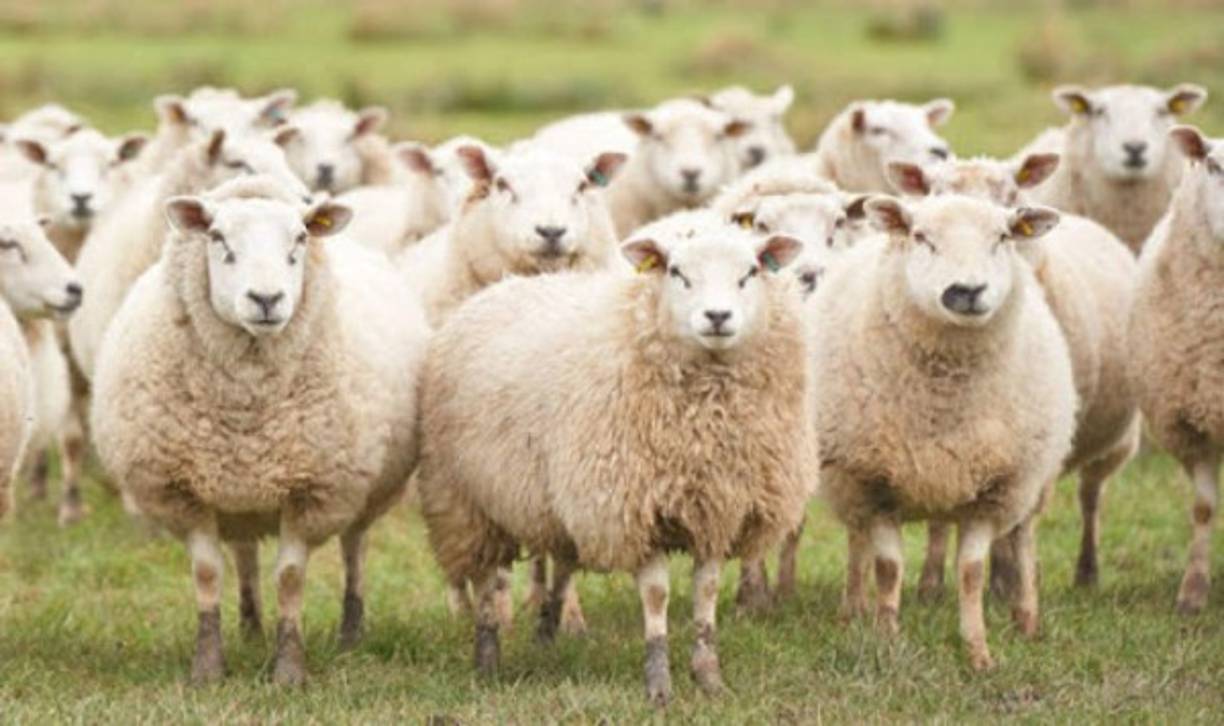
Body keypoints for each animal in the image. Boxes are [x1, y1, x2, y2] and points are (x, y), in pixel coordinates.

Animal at [90, 175, 428, 684]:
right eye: (217, 238)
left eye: (301, 239)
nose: (266, 300)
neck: (245, 407)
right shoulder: (184, 490)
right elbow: (208, 574)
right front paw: (208, 667)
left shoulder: (313, 490)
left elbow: (289, 578)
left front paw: (288, 670)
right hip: (236, 495)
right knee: (245, 556)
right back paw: (250, 629)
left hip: (363, 489)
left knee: (354, 549)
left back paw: (351, 632)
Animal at [417, 209, 815, 704]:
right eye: (677, 272)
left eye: (750, 273)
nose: (718, 316)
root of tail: (504, 286)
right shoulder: (635, 507)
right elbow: (657, 596)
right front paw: (659, 685)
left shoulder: (718, 508)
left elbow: (705, 594)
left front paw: (709, 678)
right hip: (466, 499)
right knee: (488, 579)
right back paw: (488, 657)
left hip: (554, 504)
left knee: (561, 563)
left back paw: (548, 636)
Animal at [813, 194, 1076, 670]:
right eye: (921, 237)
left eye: (1003, 237)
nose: (967, 291)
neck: (944, 395)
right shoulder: (874, 483)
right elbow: (888, 569)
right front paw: (886, 641)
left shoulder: (994, 491)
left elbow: (971, 572)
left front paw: (978, 653)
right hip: (848, 482)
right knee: (857, 543)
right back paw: (851, 611)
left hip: (1033, 481)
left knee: (1024, 539)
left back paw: (1027, 620)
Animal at [888, 155, 1140, 595]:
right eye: (935, 194)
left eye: (1010, 197)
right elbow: (939, 517)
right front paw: (930, 584)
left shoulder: (1037, 441)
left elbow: (1012, 523)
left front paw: (1005, 582)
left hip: (1113, 440)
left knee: (1090, 498)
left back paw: (1084, 573)